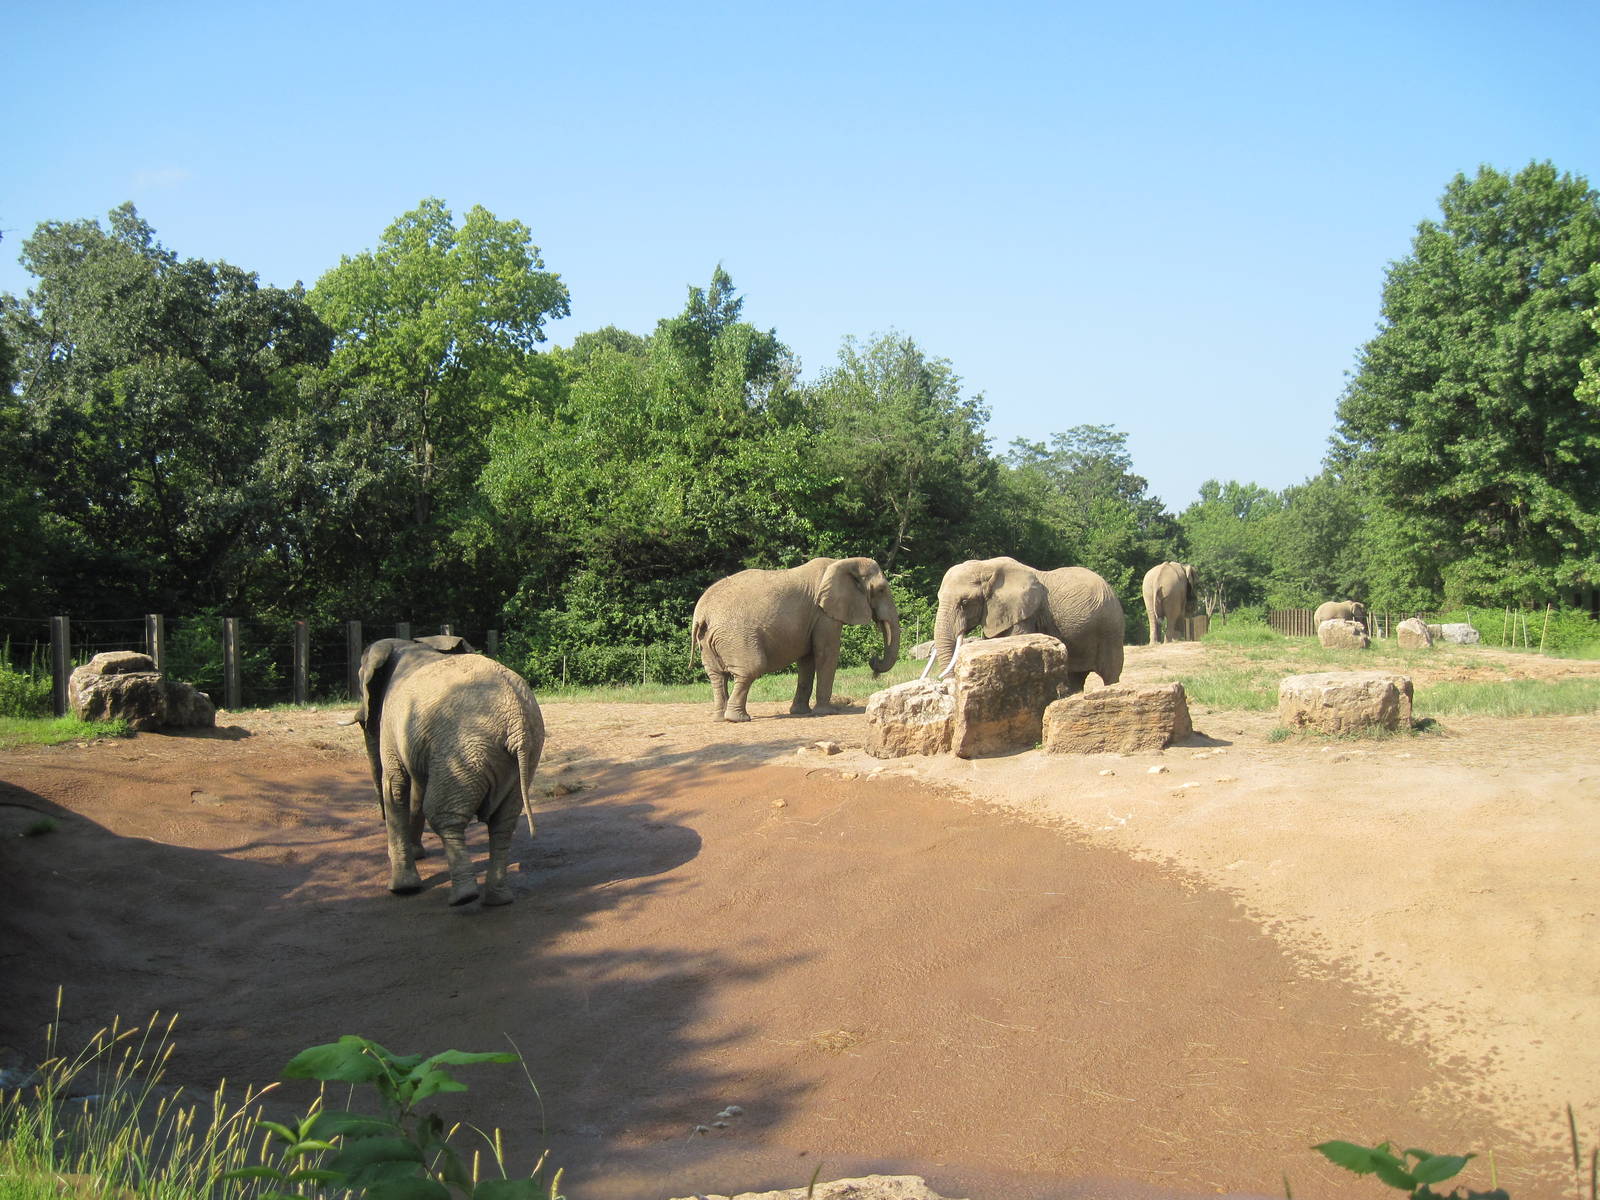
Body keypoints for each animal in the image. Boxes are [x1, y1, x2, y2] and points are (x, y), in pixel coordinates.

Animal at [347, 637, 544, 906]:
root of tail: (517, 722)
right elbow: (416, 790)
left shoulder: (391, 722)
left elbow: (396, 784)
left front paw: (402, 888)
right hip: (524, 755)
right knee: (503, 823)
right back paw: (498, 899)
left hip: (464, 749)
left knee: (443, 816)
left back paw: (463, 897)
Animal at [692, 557, 901, 723]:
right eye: (881, 590)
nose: (873, 662)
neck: (843, 562)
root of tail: (702, 614)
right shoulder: (824, 614)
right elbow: (826, 653)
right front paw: (826, 712)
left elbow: (807, 660)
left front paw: (800, 712)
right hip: (736, 636)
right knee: (750, 669)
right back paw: (738, 719)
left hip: (709, 640)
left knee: (716, 676)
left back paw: (720, 718)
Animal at [929, 557, 1124, 693]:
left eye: (964, 602)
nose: (948, 687)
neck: (985, 566)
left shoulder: (1023, 612)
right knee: (1075, 676)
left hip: (1110, 629)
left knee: (1111, 672)